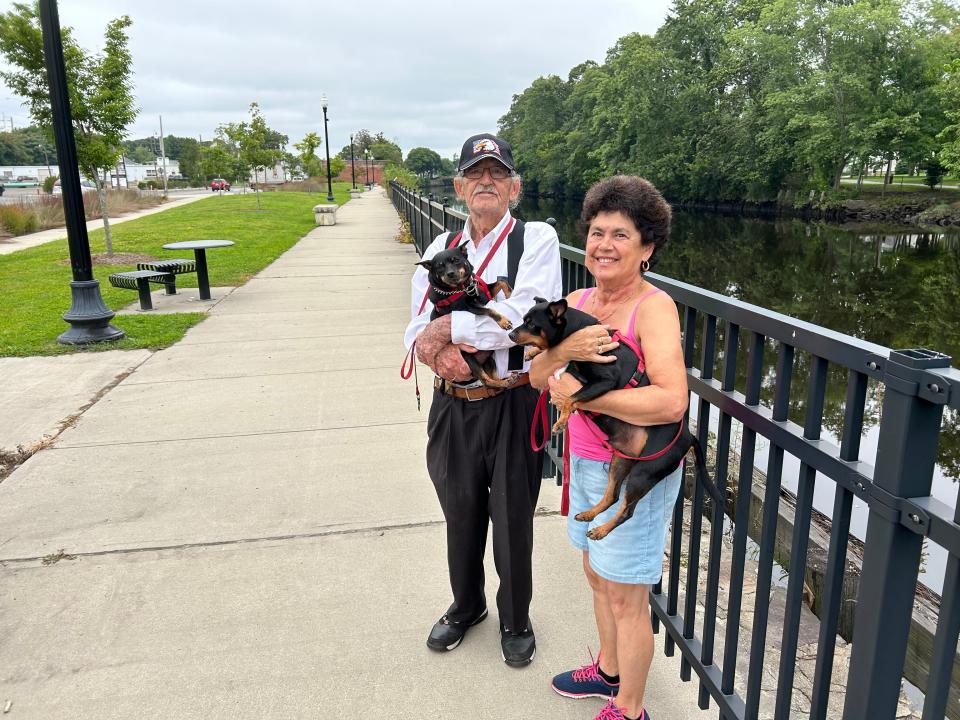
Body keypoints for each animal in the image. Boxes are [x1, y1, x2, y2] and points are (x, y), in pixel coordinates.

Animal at [416, 243, 512, 390]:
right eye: (439, 266)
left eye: (456, 260)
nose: (450, 273)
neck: (463, 288)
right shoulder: (469, 308)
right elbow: (490, 310)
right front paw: (503, 321)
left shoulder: (485, 292)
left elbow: (502, 282)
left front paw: (510, 294)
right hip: (469, 359)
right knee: (486, 381)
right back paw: (502, 382)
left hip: (489, 360)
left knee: (492, 379)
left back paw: (504, 381)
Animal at [510, 296, 720, 536]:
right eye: (524, 320)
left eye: (531, 324)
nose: (511, 334)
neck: (576, 330)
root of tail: (689, 437)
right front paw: (533, 353)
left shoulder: (605, 380)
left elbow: (571, 398)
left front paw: (561, 421)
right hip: (621, 460)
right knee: (613, 495)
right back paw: (589, 515)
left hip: (645, 471)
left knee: (627, 510)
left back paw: (601, 530)